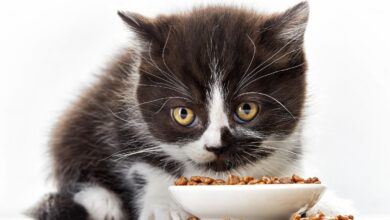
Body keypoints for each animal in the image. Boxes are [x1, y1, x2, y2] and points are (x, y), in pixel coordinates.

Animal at [31, 2, 354, 220]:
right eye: (183, 114)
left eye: (247, 109)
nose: (216, 146)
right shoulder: (120, 111)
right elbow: (141, 159)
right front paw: (163, 204)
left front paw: (325, 201)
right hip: (80, 116)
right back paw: (103, 202)